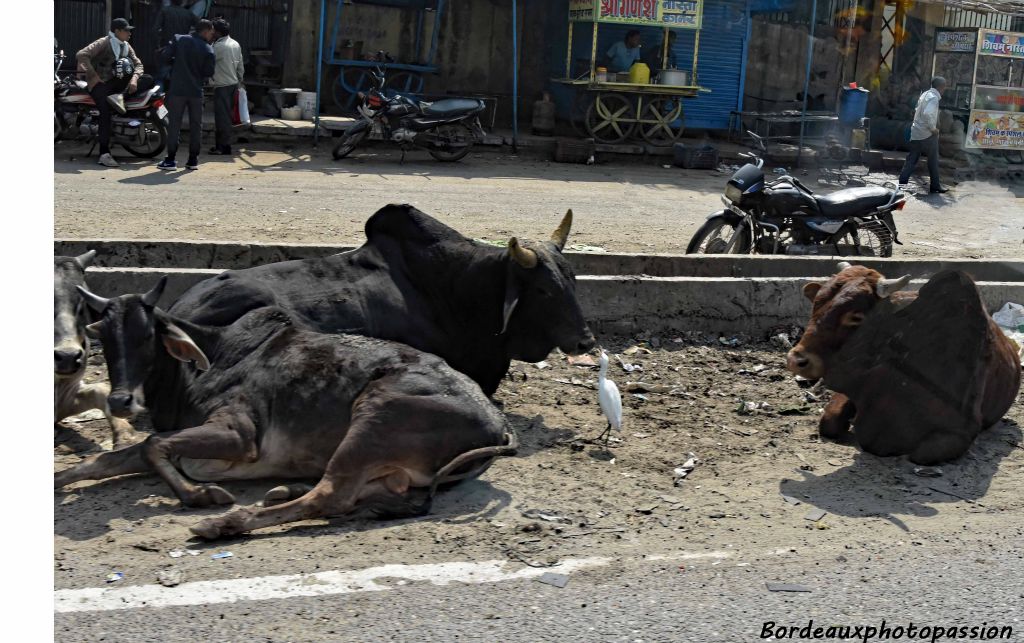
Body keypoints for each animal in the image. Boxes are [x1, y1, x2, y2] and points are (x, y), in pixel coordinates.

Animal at [54, 278, 520, 540]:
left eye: (148, 334)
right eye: (103, 336)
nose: (120, 401)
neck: (206, 361)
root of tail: (497, 422)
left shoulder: (238, 435)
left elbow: (153, 445)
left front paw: (201, 496)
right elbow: (107, 459)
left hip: (374, 417)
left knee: (330, 496)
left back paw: (226, 524)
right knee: (366, 495)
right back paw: (283, 489)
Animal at [786, 264, 1019, 464]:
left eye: (856, 317)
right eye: (816, 304)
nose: (796, 360)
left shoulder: (962, 429)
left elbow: (921, 454)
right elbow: (829, 422)